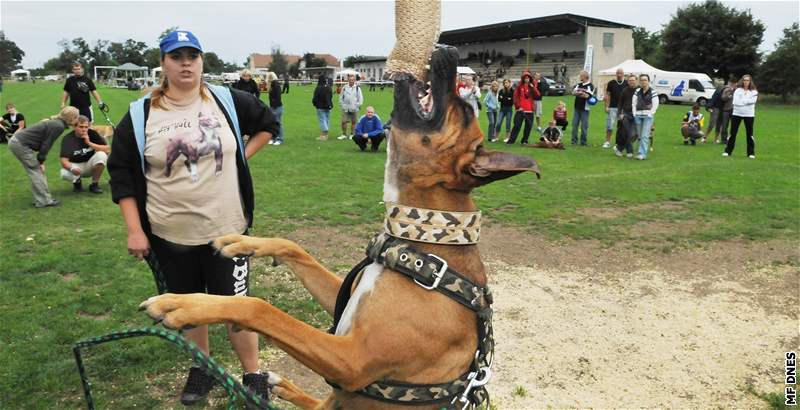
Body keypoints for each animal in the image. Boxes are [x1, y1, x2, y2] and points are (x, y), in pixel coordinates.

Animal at [139, 45, 536, 410]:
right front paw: (242, 243)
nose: (450, 50)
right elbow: (293, 247)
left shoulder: (351, 359)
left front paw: (183, 304)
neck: (417, 244)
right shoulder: (342, 307)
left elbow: (258, 308)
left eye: (466, 109)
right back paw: (284, 387)